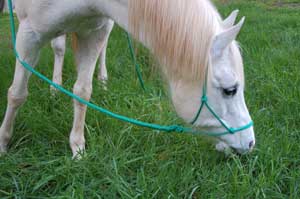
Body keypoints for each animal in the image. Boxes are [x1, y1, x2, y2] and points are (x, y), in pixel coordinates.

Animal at [0, 0, 255, 159]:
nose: (251, 143)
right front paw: (3, 143)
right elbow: (17, 94)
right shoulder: (29, 34)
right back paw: (55, 87)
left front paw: (78, 149)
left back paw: (101, 80)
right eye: (230, 90)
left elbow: (82, 92)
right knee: (59, 48)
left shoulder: (94, 32)